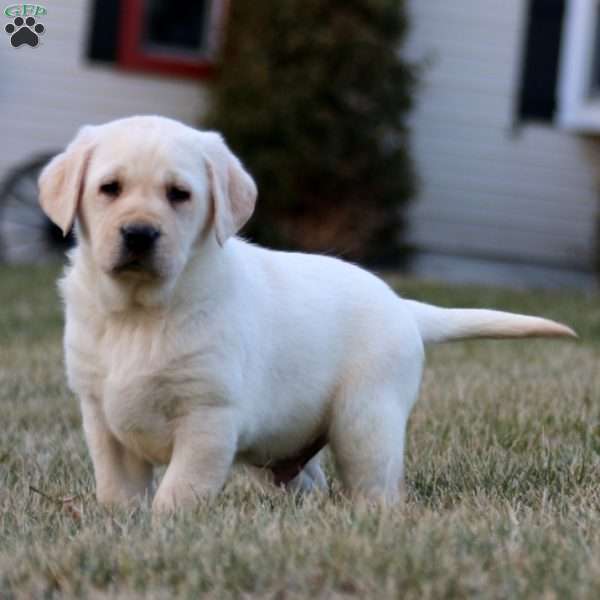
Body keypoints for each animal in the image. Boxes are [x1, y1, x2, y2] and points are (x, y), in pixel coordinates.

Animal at [39, 116, 576, 510]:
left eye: (179, 194)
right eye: (109, 188)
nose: (139, 234)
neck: (139, 314)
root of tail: (402, 305)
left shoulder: (208, 418)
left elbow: (178, 493)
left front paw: (165, 530)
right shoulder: (100, 415)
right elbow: (118, 491)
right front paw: (122, 526)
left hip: (366, 420)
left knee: (376, 487)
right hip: (289, 446)